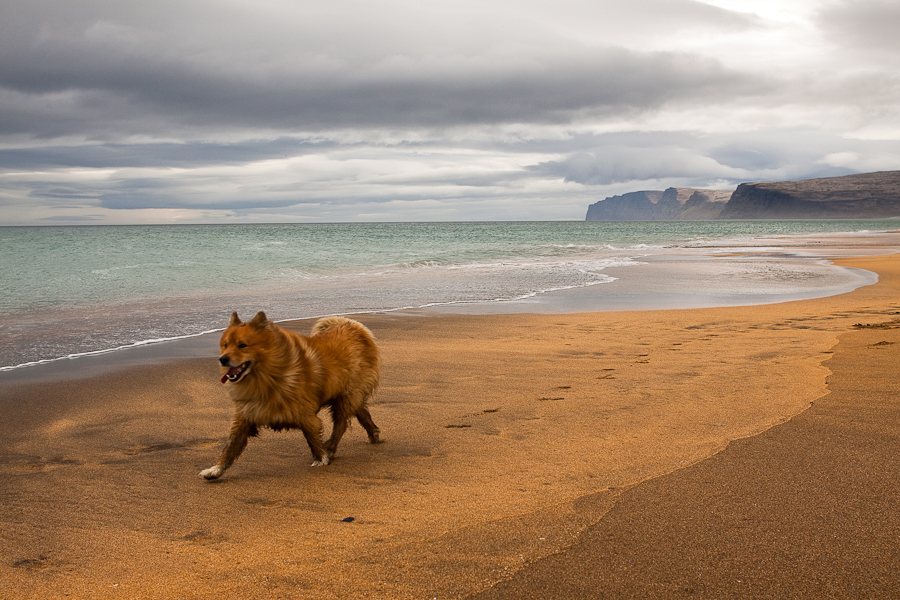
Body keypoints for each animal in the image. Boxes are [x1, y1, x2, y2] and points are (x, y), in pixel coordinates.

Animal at [199, 312, 382, 480]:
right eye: (225, 345)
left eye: (242, 345)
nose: (222, 359)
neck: (267, 377)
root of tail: (354, 326)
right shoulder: (246, 414)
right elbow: (230, 447)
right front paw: (215, 470)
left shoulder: (306, 415)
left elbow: (312, 438)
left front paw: (321, 459)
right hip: (346, 396)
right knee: (361, 411)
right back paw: (374, 434)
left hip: (346, 396)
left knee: (341, 425)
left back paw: (331, 448)